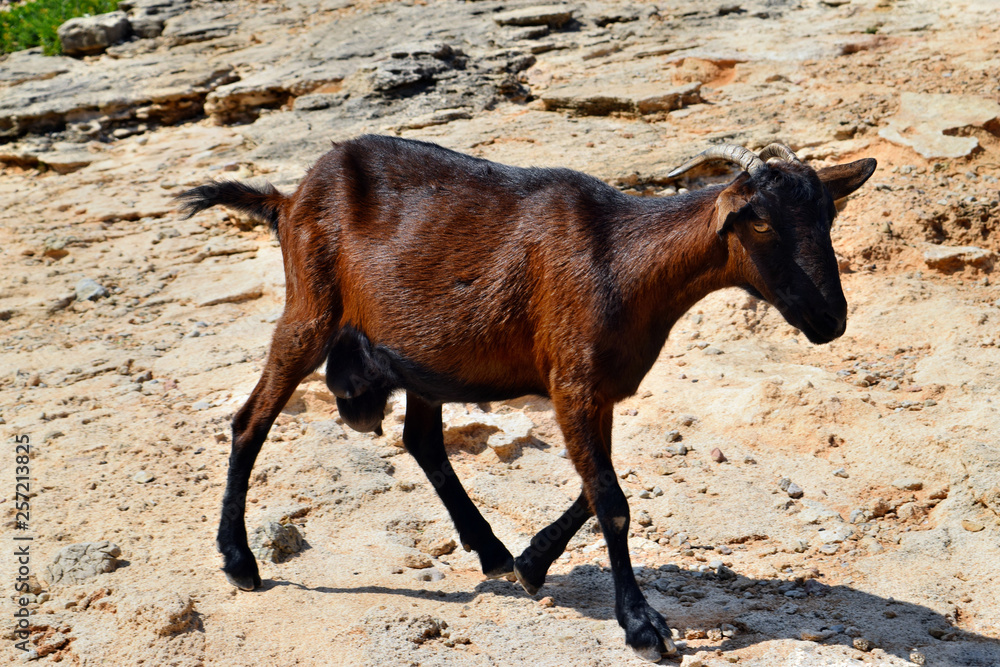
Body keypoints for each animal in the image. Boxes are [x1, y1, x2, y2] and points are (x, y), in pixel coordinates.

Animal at [176, 136, 875, 661]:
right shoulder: (573, 382)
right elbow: (612, 501)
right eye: (758, 220)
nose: (829, 318)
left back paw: (489, 548)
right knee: (250, 421)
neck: (624, 261)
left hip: (425, 355)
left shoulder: (596, 389)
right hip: (310, 309)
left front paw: (534, 562)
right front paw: (643, 626)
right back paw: (239, 561)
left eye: (828, 217)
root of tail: (287, 197)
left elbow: (597, 490)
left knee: (422, 440)